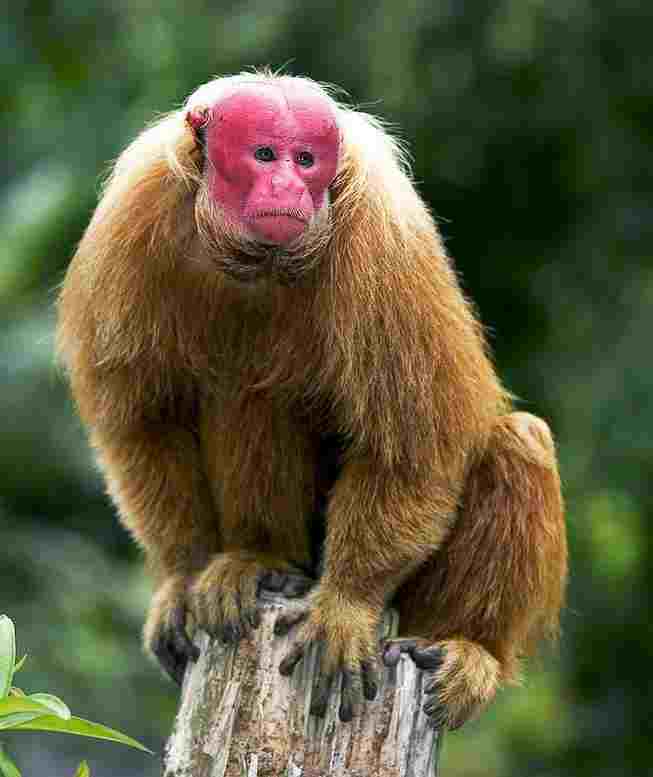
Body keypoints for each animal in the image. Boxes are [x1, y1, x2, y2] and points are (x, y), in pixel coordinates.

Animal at [56, 70, 567, 730]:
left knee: (517, 441)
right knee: (249, 397)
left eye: (306, 160)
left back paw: (470, 648)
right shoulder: (128, 221)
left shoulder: (386, 237)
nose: (289, 187)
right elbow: (142, 426)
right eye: (264, 155)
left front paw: (345, 604)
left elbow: (415, 449)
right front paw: (180, 576)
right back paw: (261, 561)